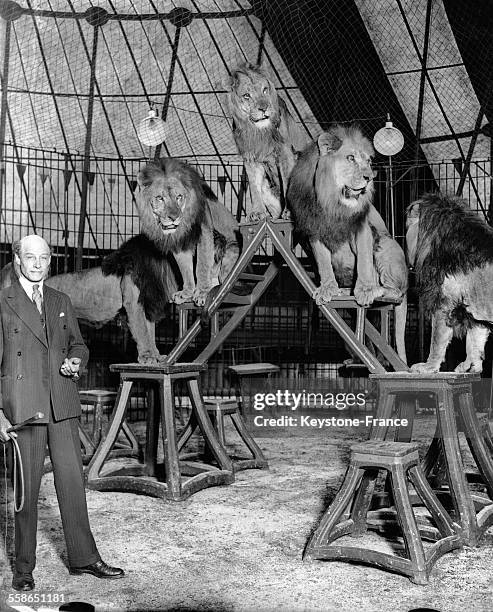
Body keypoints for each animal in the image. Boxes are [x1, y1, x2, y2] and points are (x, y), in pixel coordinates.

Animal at [0, 233, 178, 364]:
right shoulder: (133, 303)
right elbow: (142, 331)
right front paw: (147, 357)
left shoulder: (146, 303)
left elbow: (150, 331)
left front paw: (156, 355)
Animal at [136, 157, 240, 306]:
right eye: (160, 198)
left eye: (179, 196)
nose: (174, 217)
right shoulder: (179, 241)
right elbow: (185, 268)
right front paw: (187, 293)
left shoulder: (204, 231)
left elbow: (202, 265)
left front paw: (202, 293)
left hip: (227, 249)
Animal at [227, 61, 308, 222]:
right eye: (247, 95)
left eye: (265, 90)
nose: (264, 108)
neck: (258, 131)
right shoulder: (250, 157)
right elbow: (254, 187)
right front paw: (257, 213)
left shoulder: (285, 152)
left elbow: (287, 181)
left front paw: (289, 212)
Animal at [406, 192, 492, 372]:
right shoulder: (476, 313)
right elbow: (475, 341)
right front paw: (470, 366)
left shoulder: (444, 303)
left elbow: (437, 339)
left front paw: (428, 367)